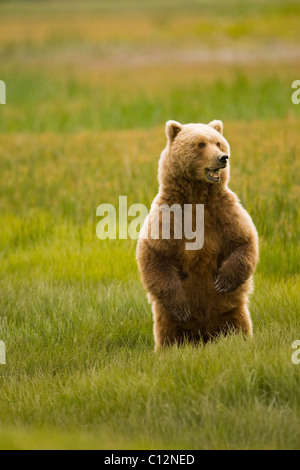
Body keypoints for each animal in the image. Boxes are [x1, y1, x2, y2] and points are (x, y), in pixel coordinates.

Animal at [137, 119, 258, 350]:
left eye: (218, 142)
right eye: (200, 144)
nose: (223, 158)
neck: (197, 198)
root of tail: (205, 336)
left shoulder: (224, 212)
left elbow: (242, 241)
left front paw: (222, 282)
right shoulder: (168, 217)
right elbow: (156, 255)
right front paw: (182, 309)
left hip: (233, 313)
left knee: (238, 326)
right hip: (167, 323)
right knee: (169, 336)